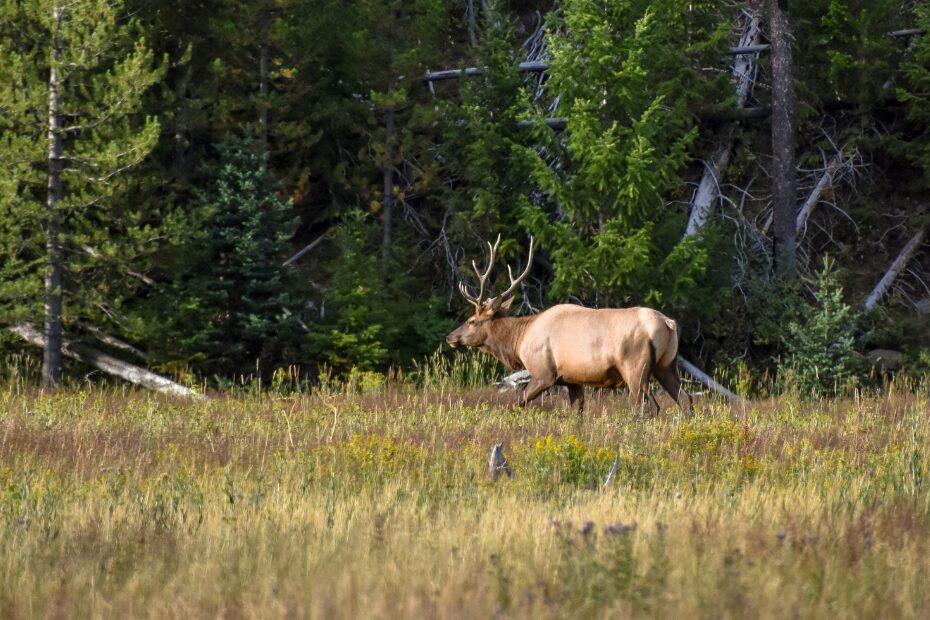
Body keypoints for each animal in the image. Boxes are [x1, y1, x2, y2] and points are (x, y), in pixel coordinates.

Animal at [446, 237, 692, 416]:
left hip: (635, 366)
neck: (519, 340)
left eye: (472, 320)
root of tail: (668, 324)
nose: (450, 337)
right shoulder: (572, 379)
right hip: (666, 365)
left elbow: (518, 402)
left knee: (645, 406)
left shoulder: (544, 373)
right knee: (685, 399)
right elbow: (577, 412)